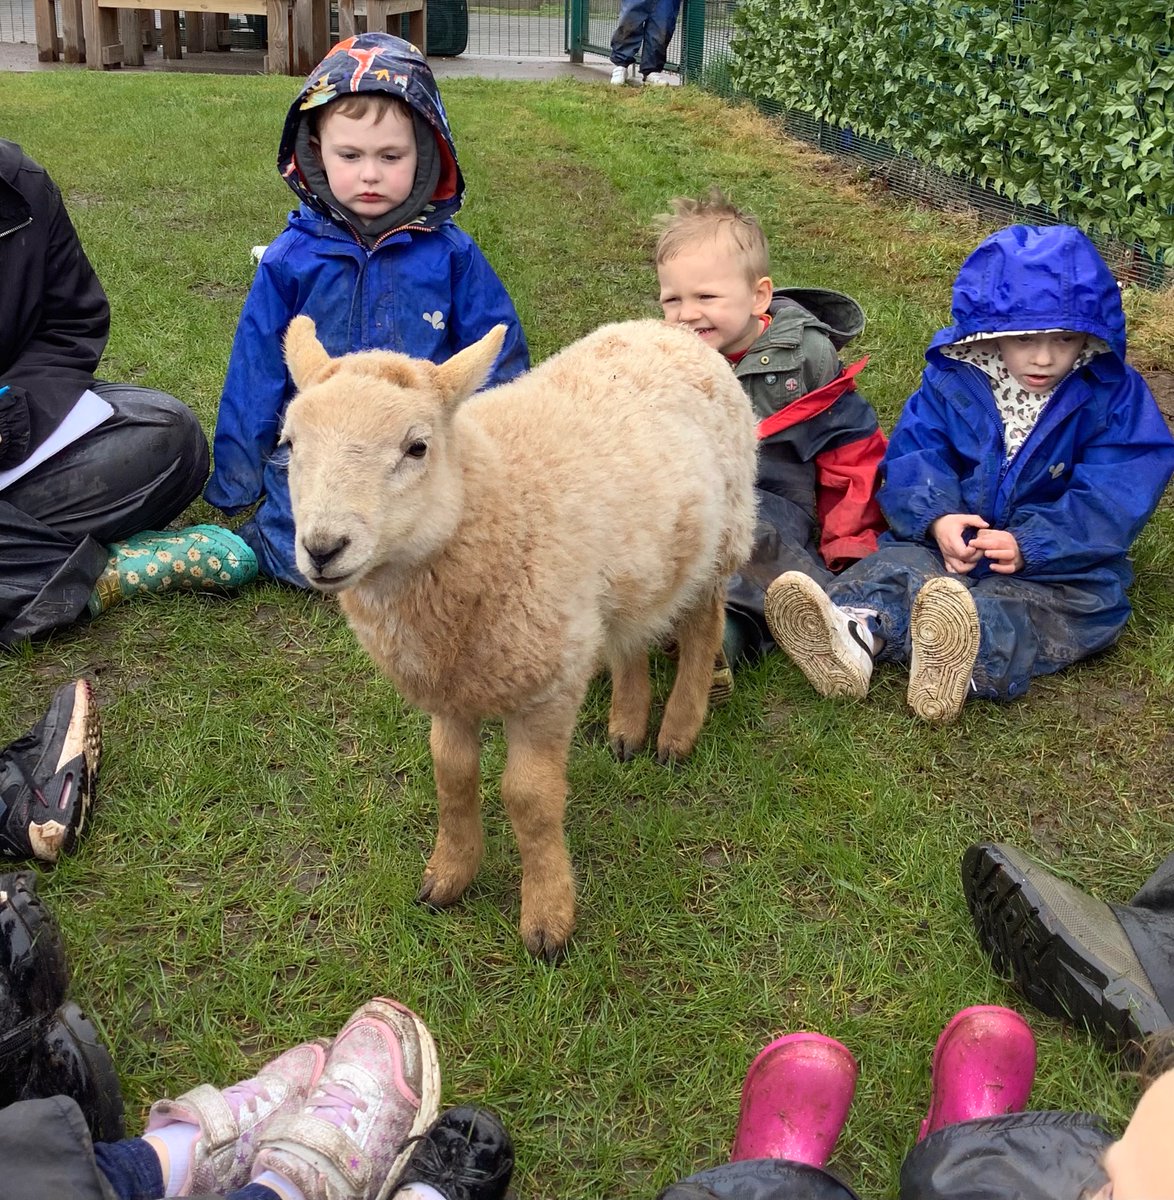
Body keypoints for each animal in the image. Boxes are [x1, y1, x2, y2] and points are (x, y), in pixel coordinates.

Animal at [281, 316, 758, 960]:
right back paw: (627, 725)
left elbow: (530, 799)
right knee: (630, 636)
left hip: (723, 536)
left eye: (417, 447)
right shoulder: (452, 688)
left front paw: (548, 918)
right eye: (289, 444)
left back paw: (677, 732)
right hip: (628, 573)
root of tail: (665, 328)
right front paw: (449, 876)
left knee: (703, 625)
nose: (323, 548)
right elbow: (452, 777)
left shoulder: (546, 686)